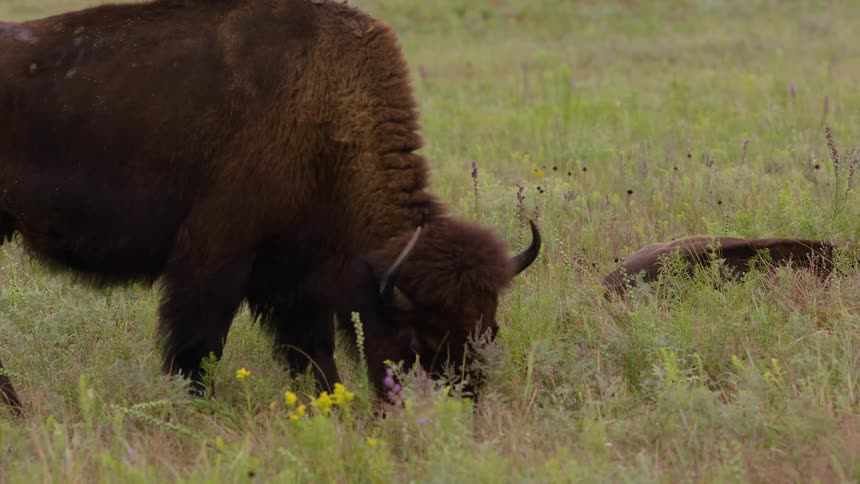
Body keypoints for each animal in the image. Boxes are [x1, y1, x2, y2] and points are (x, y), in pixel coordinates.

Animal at [0, 0, 540, 412]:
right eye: (417, 339)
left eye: (489, 330)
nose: (456, 412)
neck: (325, 107)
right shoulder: (217, 255)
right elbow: (199, 344)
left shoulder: (296, 275)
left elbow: (312, 351)